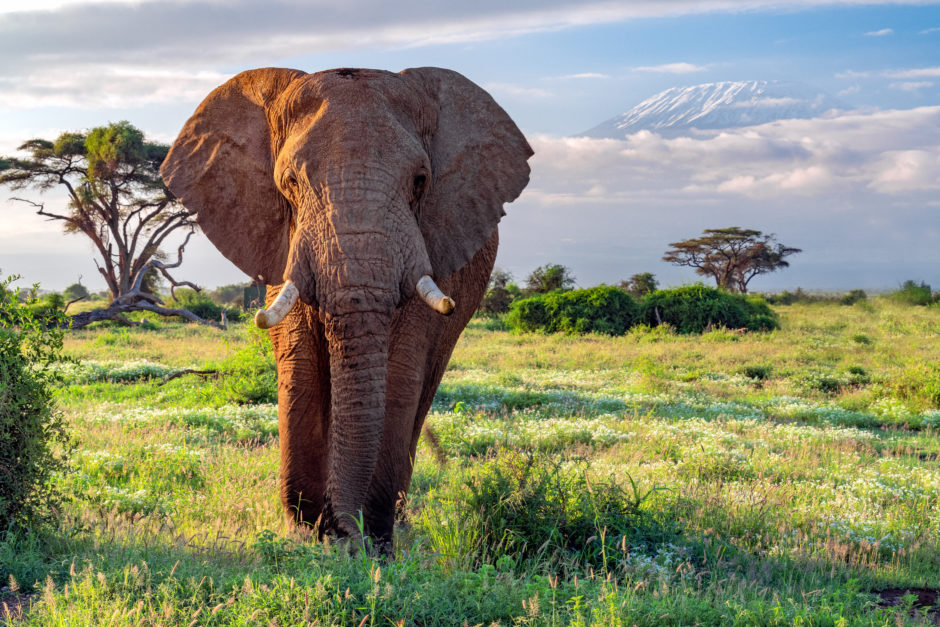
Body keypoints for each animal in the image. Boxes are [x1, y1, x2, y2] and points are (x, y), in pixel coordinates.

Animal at [160, 67, 532, 541]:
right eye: (290, 183)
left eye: (420, 182)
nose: (344, 529)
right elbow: (300, 360)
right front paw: (305, 533)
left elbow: (400, 370)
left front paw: (369, 539)